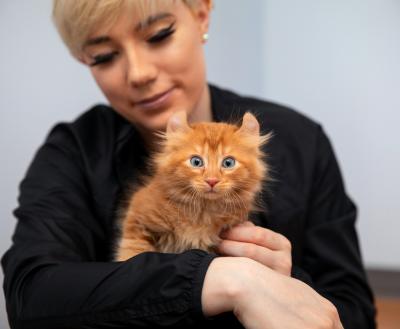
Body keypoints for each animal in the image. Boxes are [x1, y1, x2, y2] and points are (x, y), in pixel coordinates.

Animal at [115, 111, 272, 260]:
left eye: (228, 163)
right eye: (196, 162)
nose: (212, 180)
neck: (202, 212)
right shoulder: (137, 219)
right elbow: (133, 252)